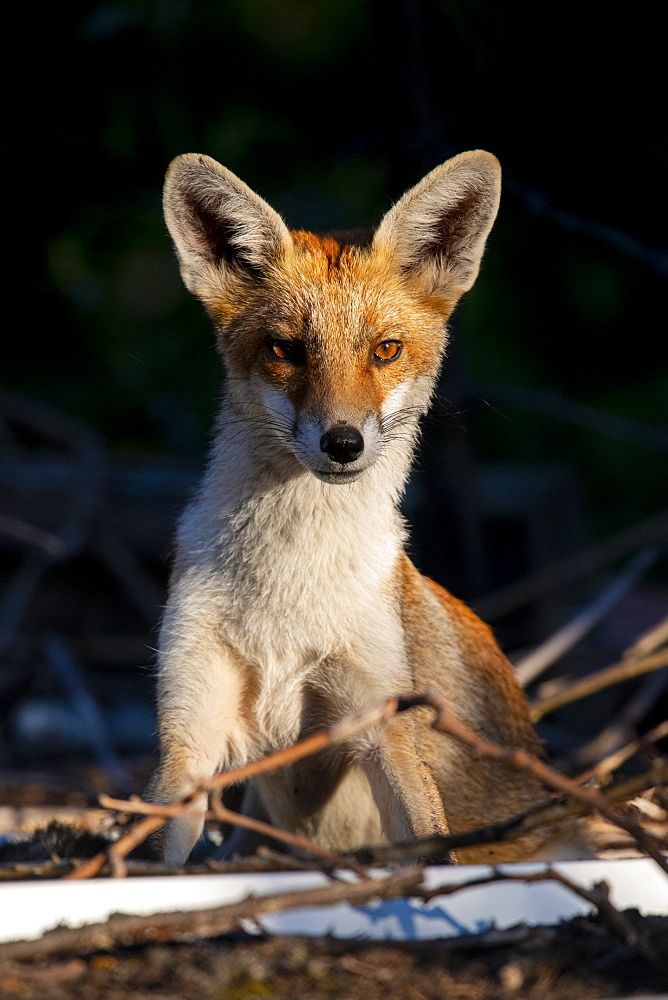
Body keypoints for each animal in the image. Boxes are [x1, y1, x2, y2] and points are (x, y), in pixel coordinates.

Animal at [149, 150, 588, 868]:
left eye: (385, 350)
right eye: (285, 349)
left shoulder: (383, 728)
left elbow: (431, 850)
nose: (343, 442)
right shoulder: (191, 734)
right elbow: (149, 850)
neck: (288, 592)